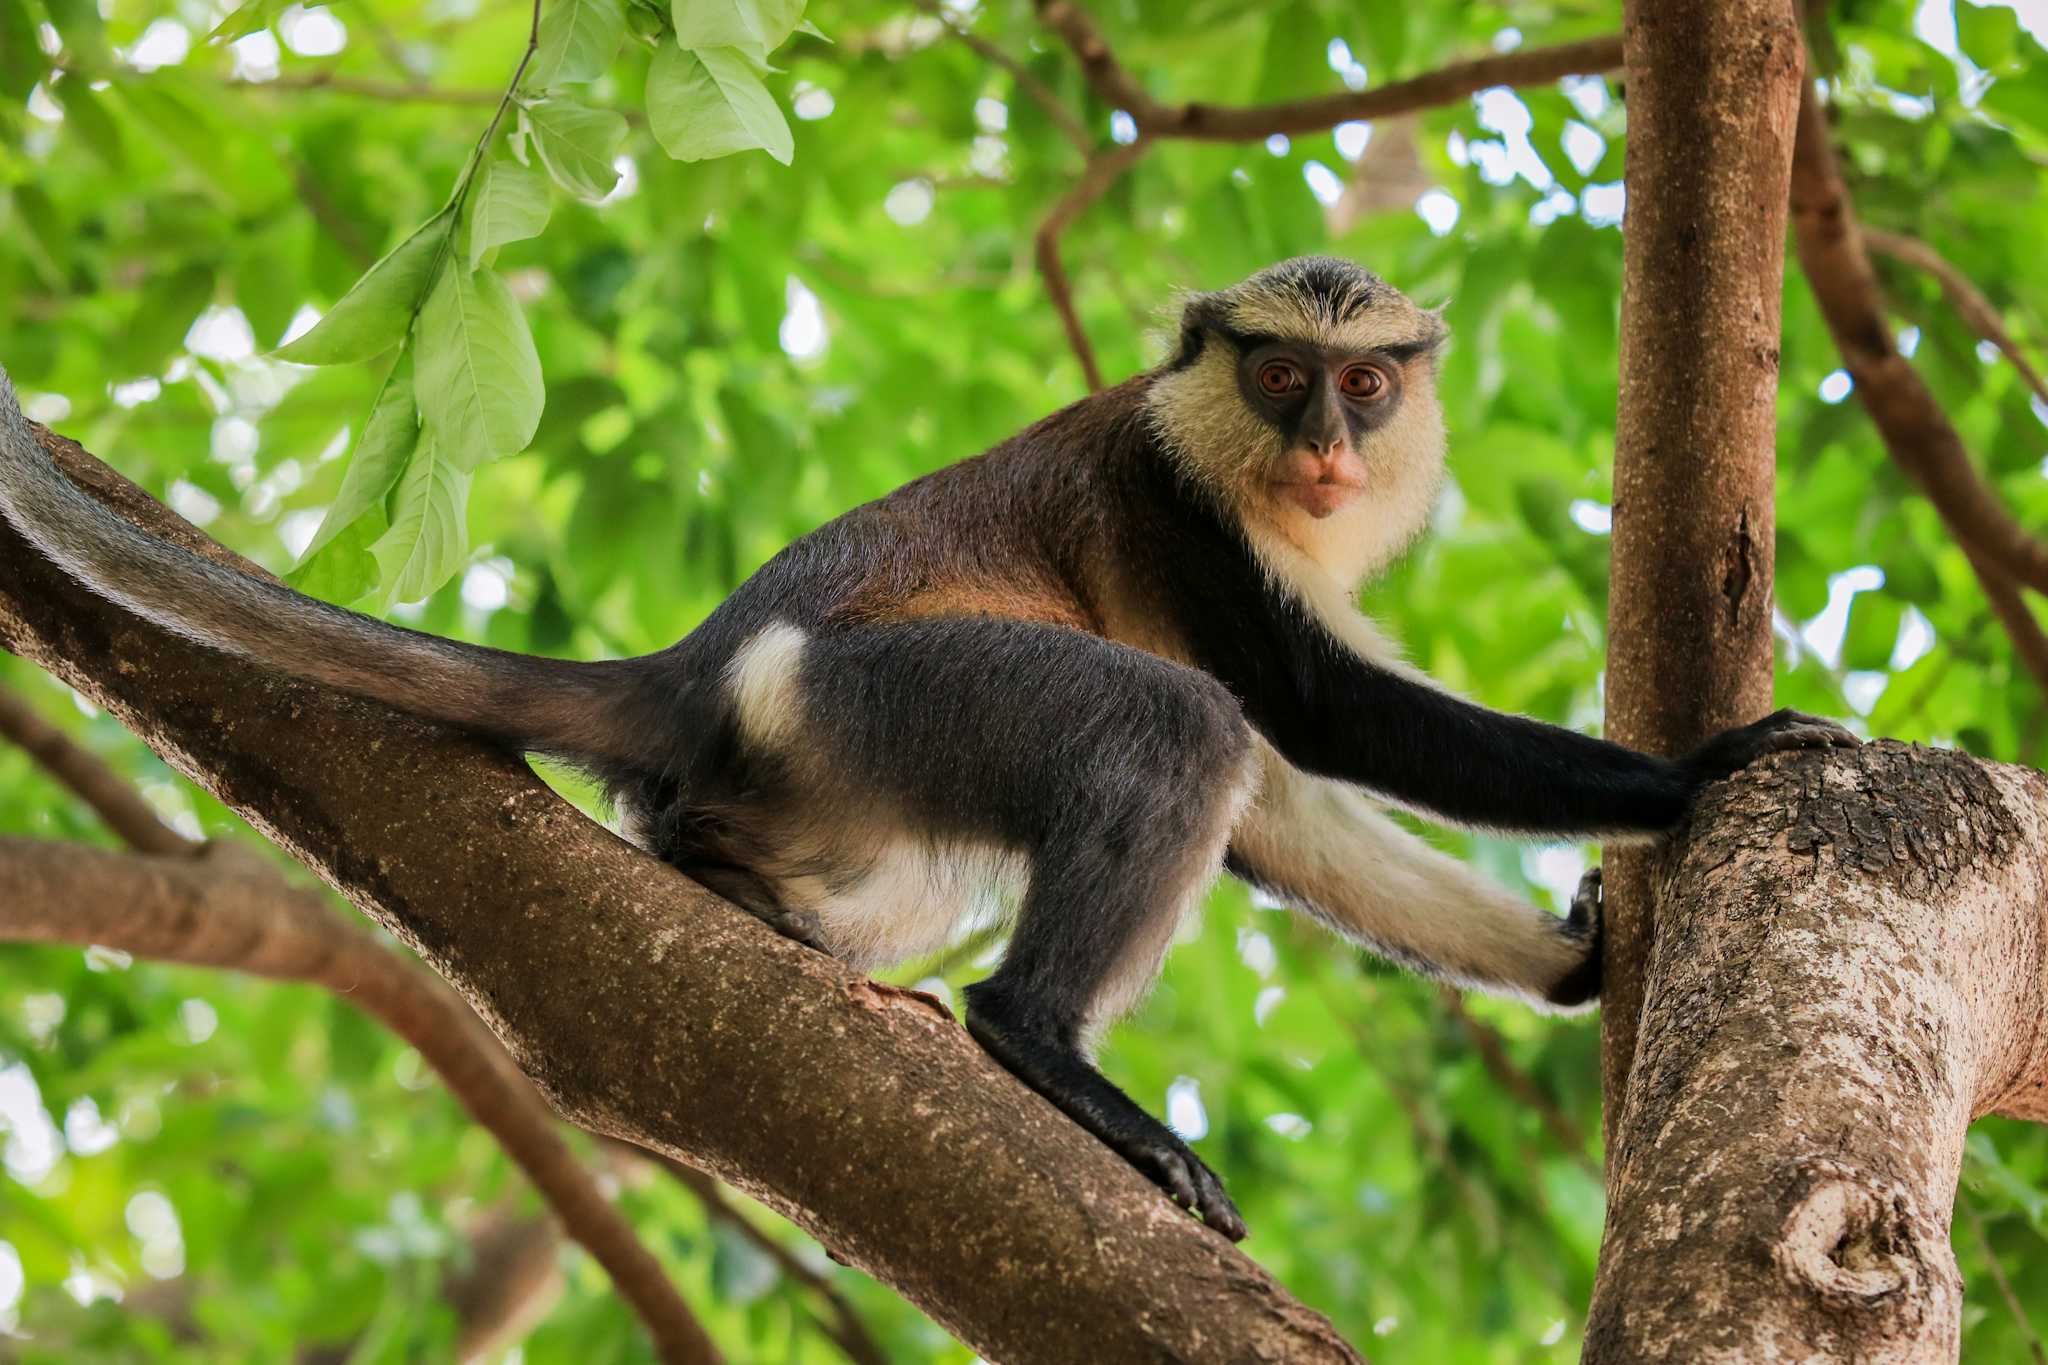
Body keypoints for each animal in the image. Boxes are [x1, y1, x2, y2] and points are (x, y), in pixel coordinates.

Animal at [0, 255, 1859, 1236]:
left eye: (1366, 385)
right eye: (1280, 378)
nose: (1331, 444)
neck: (1245, 477)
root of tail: (700, 664)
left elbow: (1280, 805)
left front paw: (1570, 959)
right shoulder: (1175, 505)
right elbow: (1309, 719)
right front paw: (1702, 774)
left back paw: (736, 883)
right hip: (874, 695)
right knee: (1168, 726)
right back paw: (1038, 1043)